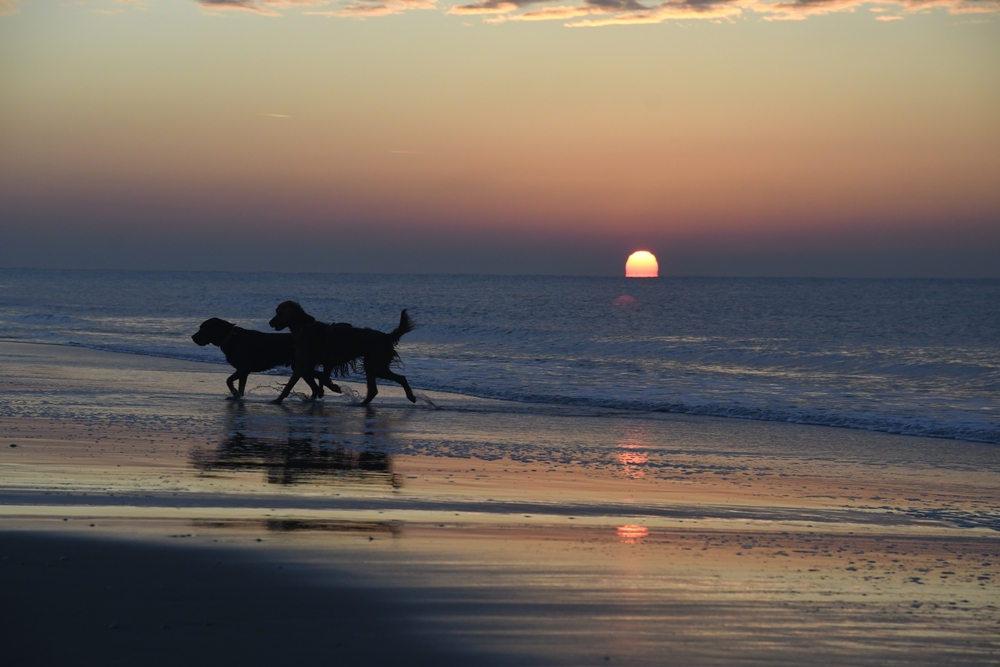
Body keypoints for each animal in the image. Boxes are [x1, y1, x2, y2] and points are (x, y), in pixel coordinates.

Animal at [190, 318, 336, 400]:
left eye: (204, 328)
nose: (192, 337)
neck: (230, 337)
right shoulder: (243, 371)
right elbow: (240, 385)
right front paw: (238, 396)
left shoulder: (244, 368)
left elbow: (229, 380)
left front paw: (235, 394)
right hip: (301, 367)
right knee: (316, 384)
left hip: (300, 366)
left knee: (318, 379)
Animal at [268, 302, 416, 408]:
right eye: (276, 311)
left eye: (280, 313)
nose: (270, 322)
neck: (304, 327)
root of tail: (386, 336)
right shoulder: (317, 362)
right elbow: (321, 376)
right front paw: (329, 388)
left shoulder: (308, 362)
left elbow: (290, 385)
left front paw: (277, 400)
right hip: (371, 364)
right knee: (374, 389)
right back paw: (362, 404)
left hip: (376, 364)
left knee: (401, 378)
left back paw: (411, 396)